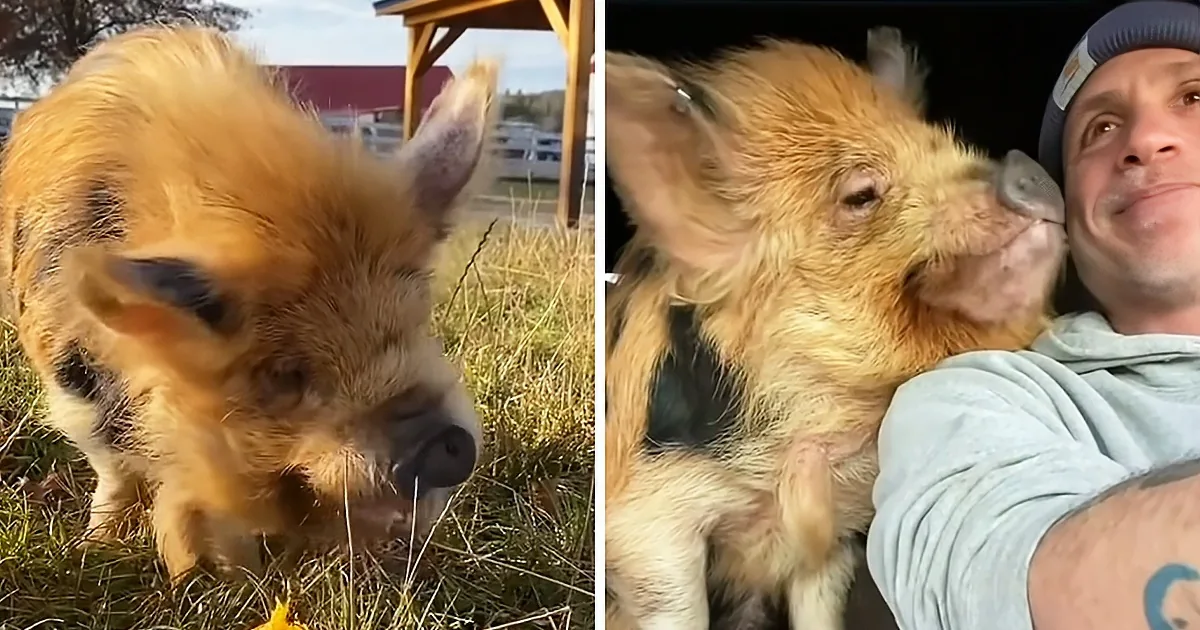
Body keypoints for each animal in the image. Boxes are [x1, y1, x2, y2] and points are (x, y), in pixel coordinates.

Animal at [0, 24, 494, 584]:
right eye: (283, 373)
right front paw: (108, 549)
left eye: (417, 322)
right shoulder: (69, 373)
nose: (448, 445)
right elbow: (115, 467)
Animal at [603, 27, 1067, 630]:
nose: (1024, 166)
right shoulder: (647, 524)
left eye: (942, 141)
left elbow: (820, 610)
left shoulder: (835, 532)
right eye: (860, 194)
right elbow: (677, 608)